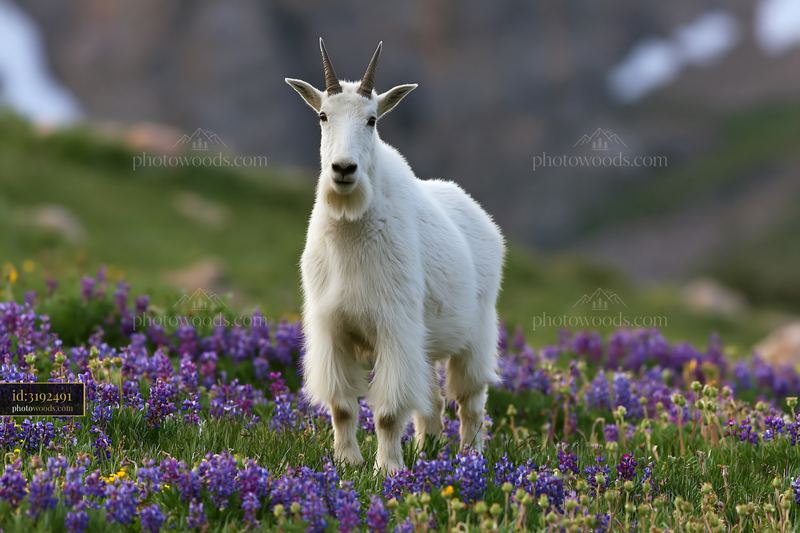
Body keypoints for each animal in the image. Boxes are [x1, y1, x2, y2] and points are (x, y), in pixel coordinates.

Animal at [286, 39, 505, 472]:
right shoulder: (332, 328)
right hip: (427, 344)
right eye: (323, 115)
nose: (344, 169)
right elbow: (343, 406)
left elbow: (388, 412)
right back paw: (428, 449)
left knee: (469, 401)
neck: (351, 228)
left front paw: (387, 469)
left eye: (372, 120)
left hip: (476, 333)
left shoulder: (394, 328)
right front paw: (347, 463)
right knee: (432, 401)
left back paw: (471, 457)